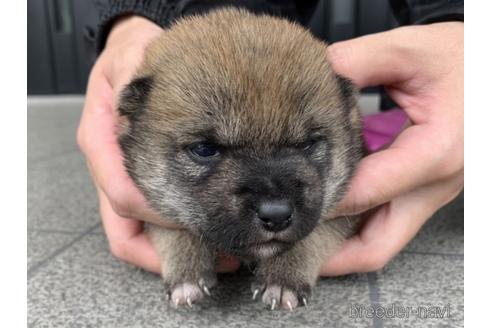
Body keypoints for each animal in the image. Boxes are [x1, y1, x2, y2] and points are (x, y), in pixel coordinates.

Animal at [117, 7, 364, 310]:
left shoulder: (342, 214)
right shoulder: (152, 207)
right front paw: (187, 272)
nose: (276, 215)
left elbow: (314, 233)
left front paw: (283, 276)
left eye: (307, 144)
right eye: (204, 149)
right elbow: (175, 229)